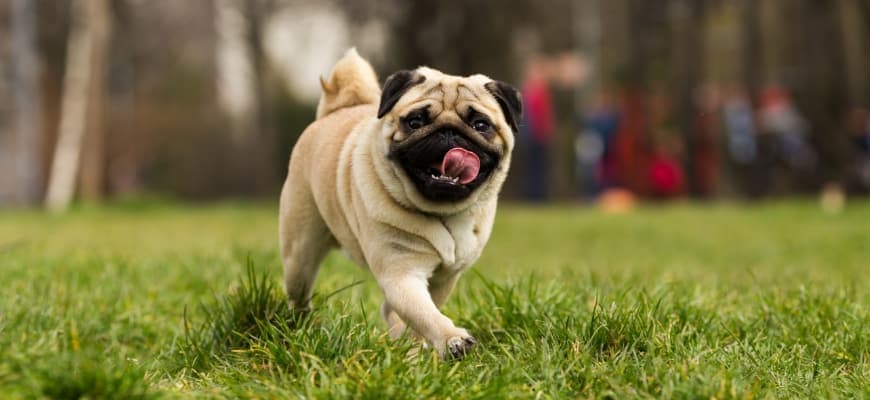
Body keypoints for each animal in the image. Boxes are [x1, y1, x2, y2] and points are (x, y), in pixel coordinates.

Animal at [280, 48, 520, 358]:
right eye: (415, 122)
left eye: (480, 125)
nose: (449, 132)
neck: (442, 212)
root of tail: (336, 109)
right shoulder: (402, 273)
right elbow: (425, 313)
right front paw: (452, 339)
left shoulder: (443, 278)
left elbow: (421, 313)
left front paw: (418, 345)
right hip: (299, 254)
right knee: (299, 290)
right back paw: (299, 326)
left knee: (390, 310)